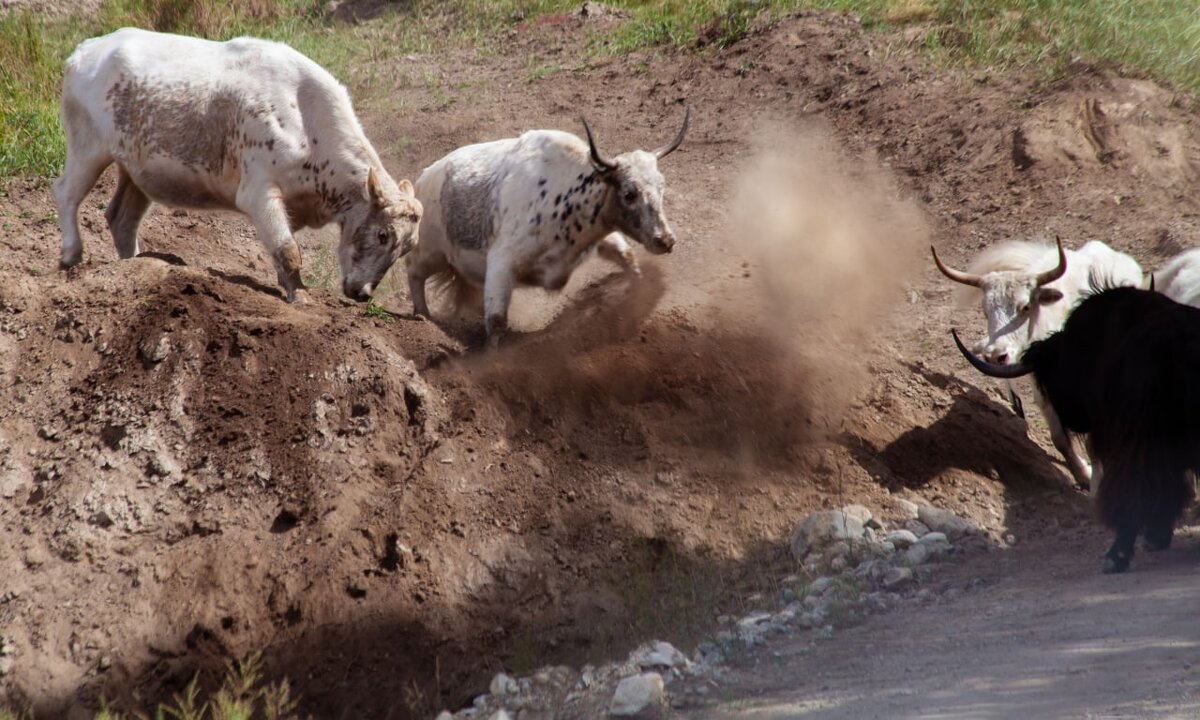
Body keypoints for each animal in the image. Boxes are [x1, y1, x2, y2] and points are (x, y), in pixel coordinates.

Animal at [55, 26, 422, 302]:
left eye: (407, 247)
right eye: (383, 234)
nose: (364, 293)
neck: (305, 119)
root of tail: (86, 50)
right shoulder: (259, 192)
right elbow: (288, 250)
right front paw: (301, 295)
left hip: (136, 172)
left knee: (122, 219)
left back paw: (134, 265)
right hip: (88, 150)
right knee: (66, 193)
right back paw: (71, 254)